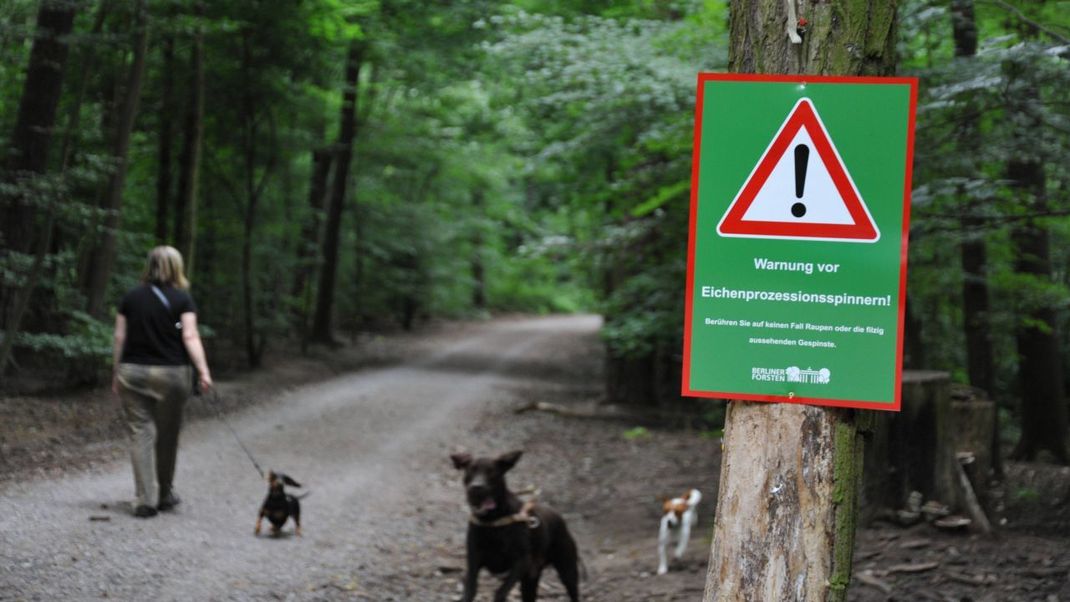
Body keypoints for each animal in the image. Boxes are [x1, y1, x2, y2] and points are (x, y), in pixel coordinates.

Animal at [449, 449, 582, 598]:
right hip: (530, 579)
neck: (493, 520)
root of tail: (559, 516)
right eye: (470, 470)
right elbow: (470, 590)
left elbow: (500, 591)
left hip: (567, 571)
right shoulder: (473, 561)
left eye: (491, 471)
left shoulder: (521, 562)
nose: (477, 487)